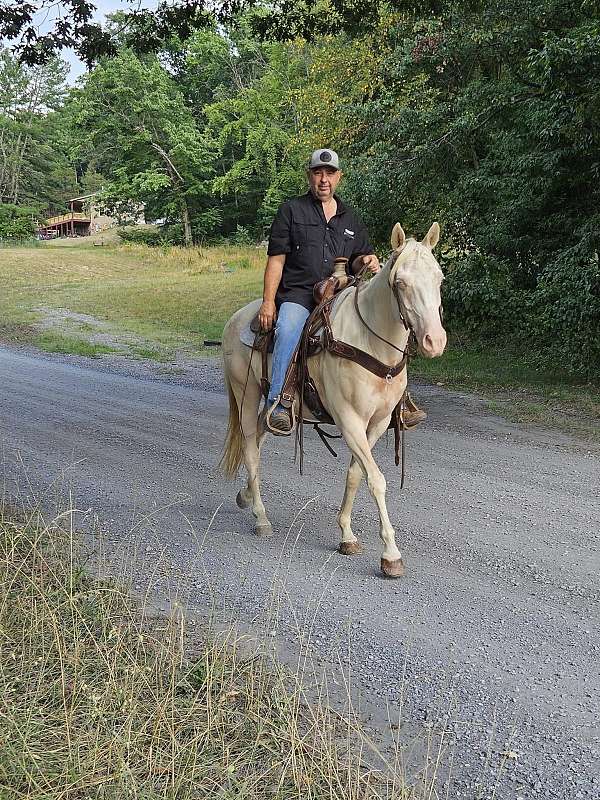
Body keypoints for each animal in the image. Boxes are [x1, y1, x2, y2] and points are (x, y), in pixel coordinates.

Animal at [220, 222, 446, 580]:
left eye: (439, 278)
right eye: (400, 282)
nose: (434, 341)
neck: (370, 343)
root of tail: (237, 319)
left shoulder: (376, 424)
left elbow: (355, 475)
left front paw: (347, 536)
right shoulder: (349, 420)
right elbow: (376, 480)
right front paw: (391, 555)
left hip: (271, 405)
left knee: (259, 435)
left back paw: (245, 496)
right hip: (246, 393)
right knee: (250, 448)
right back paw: (261, 517)